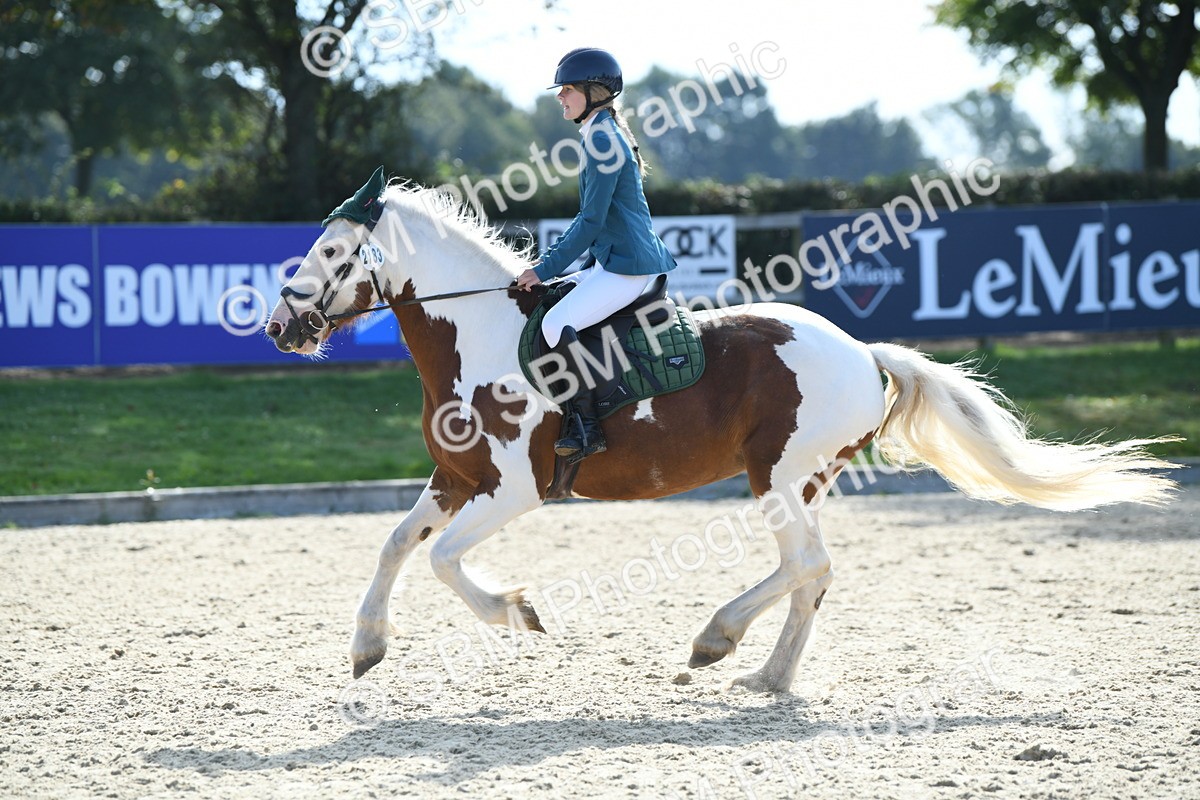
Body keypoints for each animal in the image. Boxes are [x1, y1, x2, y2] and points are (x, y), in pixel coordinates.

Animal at [265, 180, 1178, 693]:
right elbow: (394, 546)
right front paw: (367, 647)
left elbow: (448, 562)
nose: (278, 326)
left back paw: (720, 641)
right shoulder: (453, 481)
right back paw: (763, 672)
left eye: (335, 251)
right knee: (808, 572)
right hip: (795, 482)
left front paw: (515, 612)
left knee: (809, 565)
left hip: (779, 475)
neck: (479, 334)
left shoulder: (512, 490)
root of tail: (861, 350)